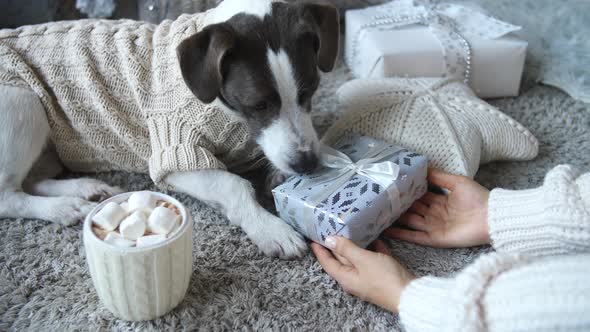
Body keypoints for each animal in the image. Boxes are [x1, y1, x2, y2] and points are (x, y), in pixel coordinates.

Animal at [0, 0, 342, 258]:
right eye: (258, 105)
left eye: (311, 91)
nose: (307, 164)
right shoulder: (174, 153)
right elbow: (233, 185)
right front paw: (269, 228)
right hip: (22, 102)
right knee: (9, 195)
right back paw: (62, 207)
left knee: (33, 180)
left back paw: (83, 190)